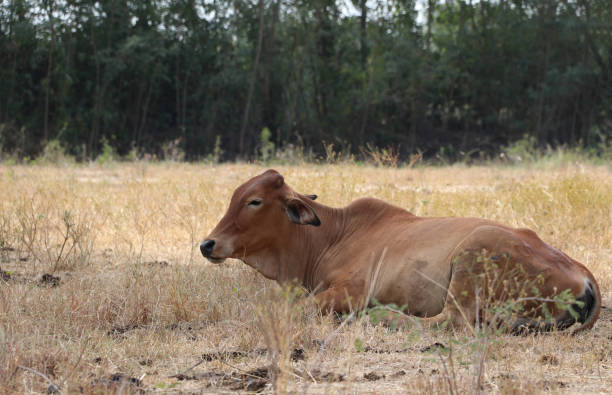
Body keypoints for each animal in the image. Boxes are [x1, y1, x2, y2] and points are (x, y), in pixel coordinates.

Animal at [200, 170, 596, 334]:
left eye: (254, 201)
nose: (208, 244)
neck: (329, 237)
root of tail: (585, 276)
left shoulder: (350, 293)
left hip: (470, 258)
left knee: (451, 322)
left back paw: (385, 316)